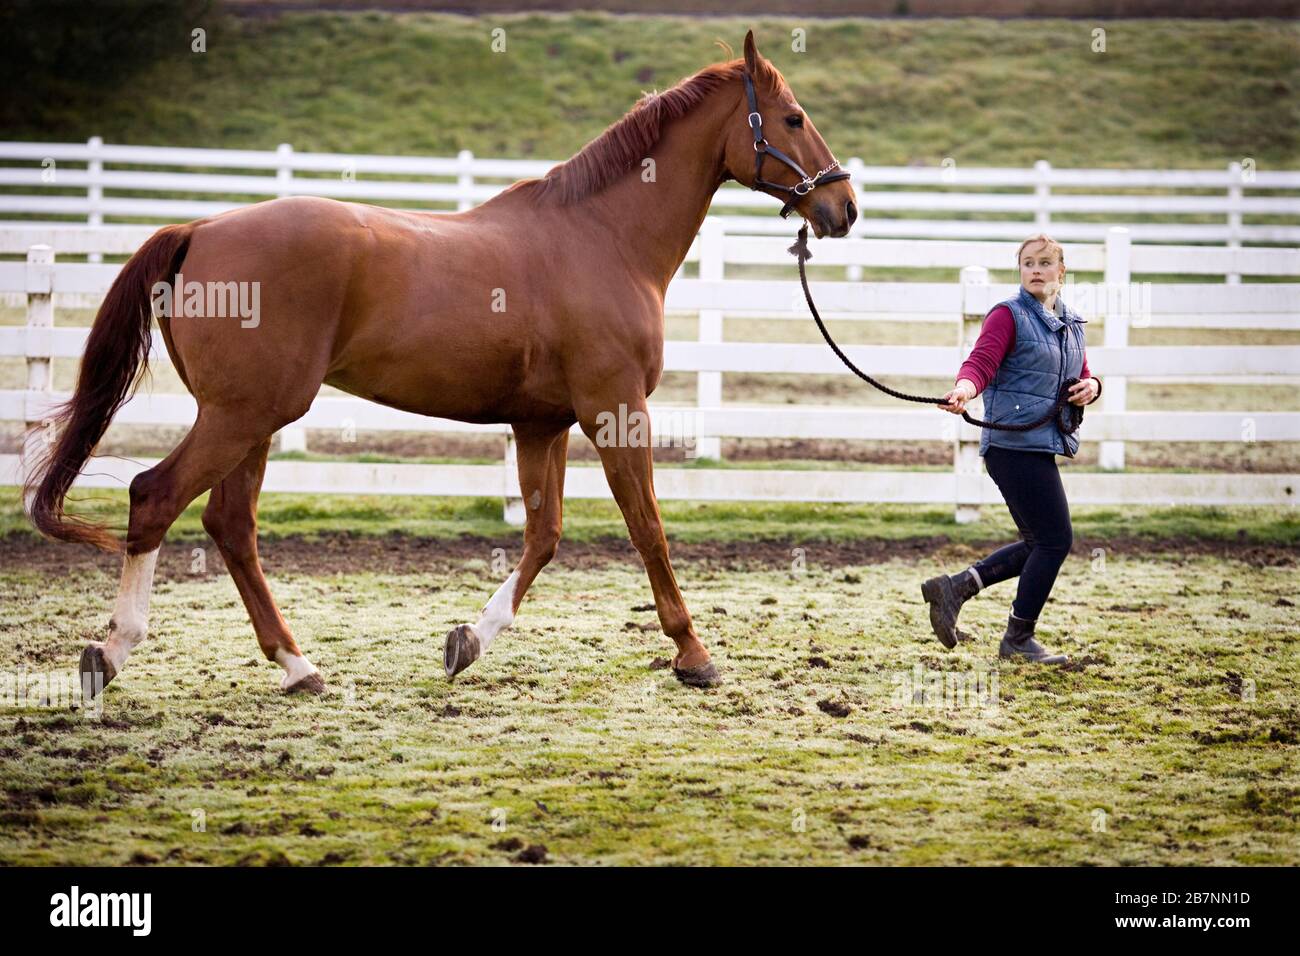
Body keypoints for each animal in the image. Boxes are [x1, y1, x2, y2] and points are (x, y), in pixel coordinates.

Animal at [24, 31, 858, 696]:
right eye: (793, 118)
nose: (842, 207)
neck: (601, 238)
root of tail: (199, 229)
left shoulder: (543, 424)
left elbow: (544, 535)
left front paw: (466, 643)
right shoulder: (614, 411)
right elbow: (646, 526)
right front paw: (693, 652)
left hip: (250, 421)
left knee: (230, 525)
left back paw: (298, 667)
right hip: (241, 416)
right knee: (153, 499)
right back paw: (113, 652)